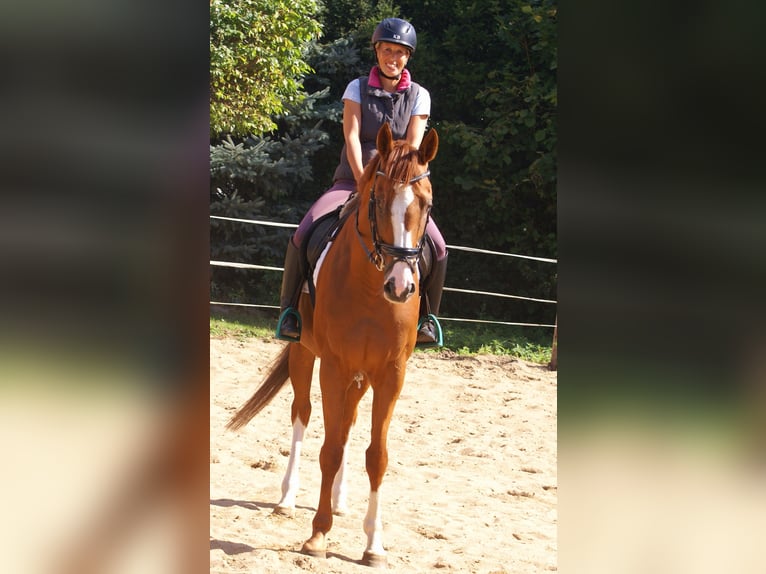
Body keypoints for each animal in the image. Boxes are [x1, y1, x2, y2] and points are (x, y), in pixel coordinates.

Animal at [226, 122, 439, 567]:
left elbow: (376, 455)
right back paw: (287, 499)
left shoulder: (391, 373)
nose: (401, 286)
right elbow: (330, 448)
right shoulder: (333, 366)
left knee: (349, 421)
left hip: (361, 375)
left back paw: (341, 502)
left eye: (427, 204)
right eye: (377, 200)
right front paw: (318, 536)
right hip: (305, 354)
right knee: (302, 413)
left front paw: (374, 546)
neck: (372, 289)